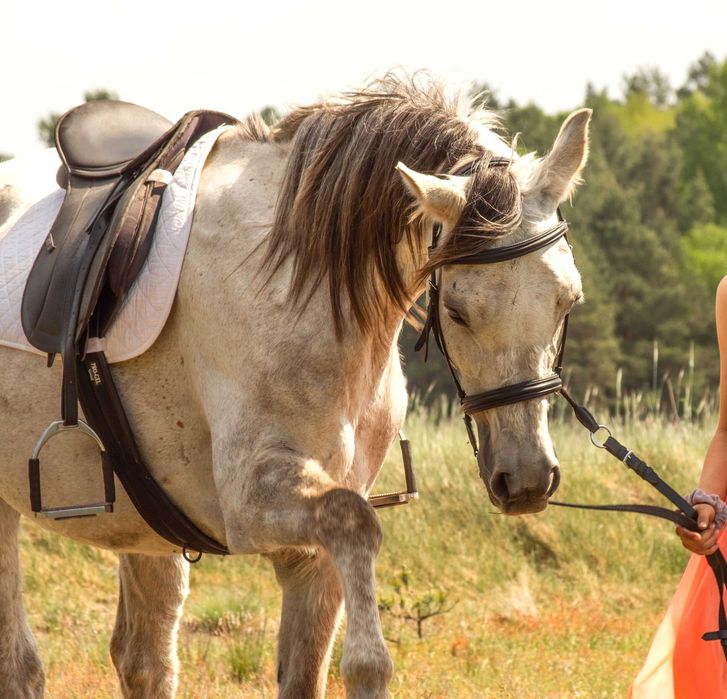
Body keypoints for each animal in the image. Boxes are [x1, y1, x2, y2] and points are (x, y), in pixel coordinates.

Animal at [0, 74, 592, 696]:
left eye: (568, 301)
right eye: (455, 311)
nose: (526, 480)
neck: (305, 288)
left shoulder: (312, 541)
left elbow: (306, 669)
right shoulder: (255, 502)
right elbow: (357, 542)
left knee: (144, 658)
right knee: (21, 665)